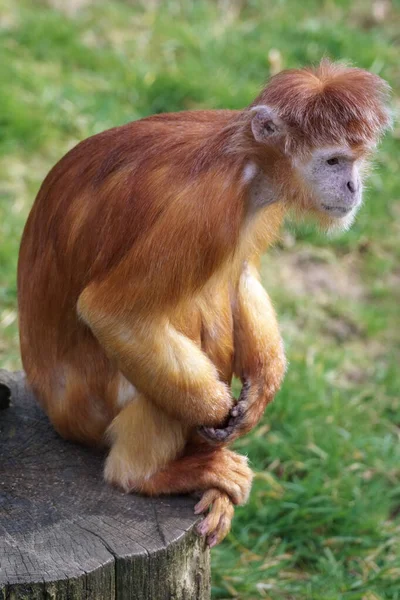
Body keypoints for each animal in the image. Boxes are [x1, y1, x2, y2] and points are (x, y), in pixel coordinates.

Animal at [17, 59, 390, 544]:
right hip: (91, 404)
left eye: (355, 162)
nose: (352, 186)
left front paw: (261, 391)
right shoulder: (203, 208)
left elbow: (241, 276)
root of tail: (53, 410)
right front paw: (217, 411)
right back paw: (146, 474)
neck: (246, 161)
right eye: (333, 161)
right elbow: (112, 313)